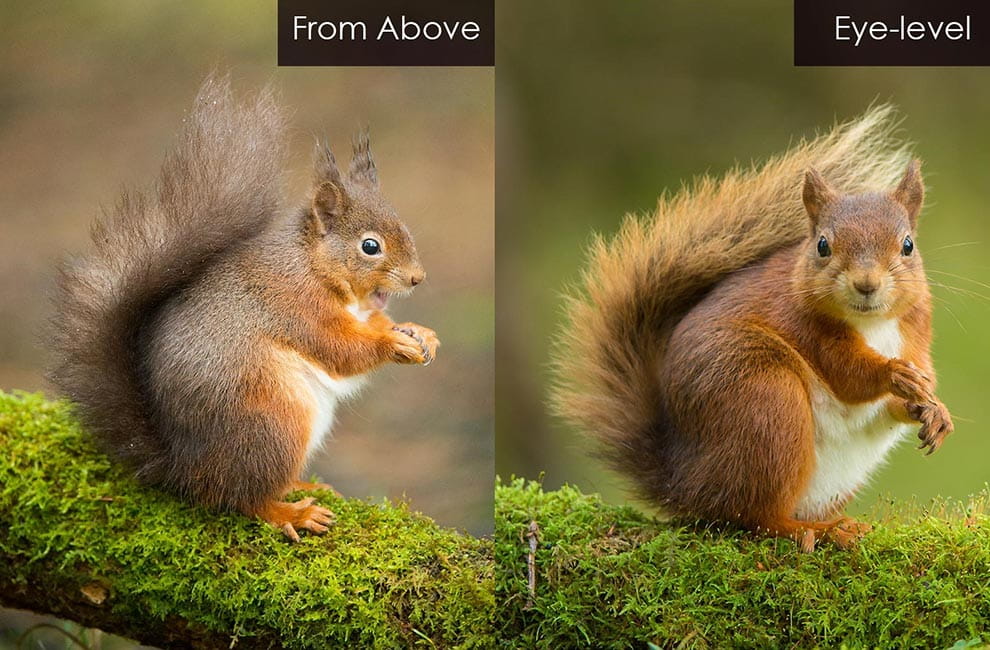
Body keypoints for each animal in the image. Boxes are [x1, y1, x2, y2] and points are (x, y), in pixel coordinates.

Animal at [48, 76, 439, 542]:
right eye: (370, 246)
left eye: (405, 226)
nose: (417, 278)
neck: (312, 266)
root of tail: (184, 468)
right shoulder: (296, 306)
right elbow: (340, 350)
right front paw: (394, 345)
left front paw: (420, 333)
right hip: (273, 424)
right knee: (243, 498)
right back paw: (291, 513)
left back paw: (302, 486)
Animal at [552, 107, 953, 552]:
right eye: (822, 245)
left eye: (908, 245)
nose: (866, 284)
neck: (873, 324)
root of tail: (683, 480)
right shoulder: (808, 329)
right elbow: (850, 375)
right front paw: (894, 373)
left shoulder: (915, 335)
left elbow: (898, 400)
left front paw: (933, 410)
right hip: (767, 404)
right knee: (754, 516)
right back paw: (819, 531)